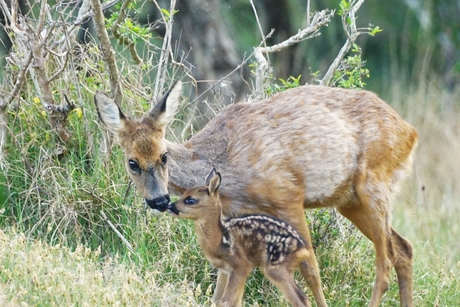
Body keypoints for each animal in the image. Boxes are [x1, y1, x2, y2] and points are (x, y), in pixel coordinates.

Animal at [93, 80, 416, 306]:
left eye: (164, 157)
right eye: (132, 162)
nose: (159, 200)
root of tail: (410, 131)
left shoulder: (288, 196)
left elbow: (311, 270)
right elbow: (222, 287)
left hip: (373, 182)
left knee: (385, 260)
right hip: (349, 201)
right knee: (403, 248)